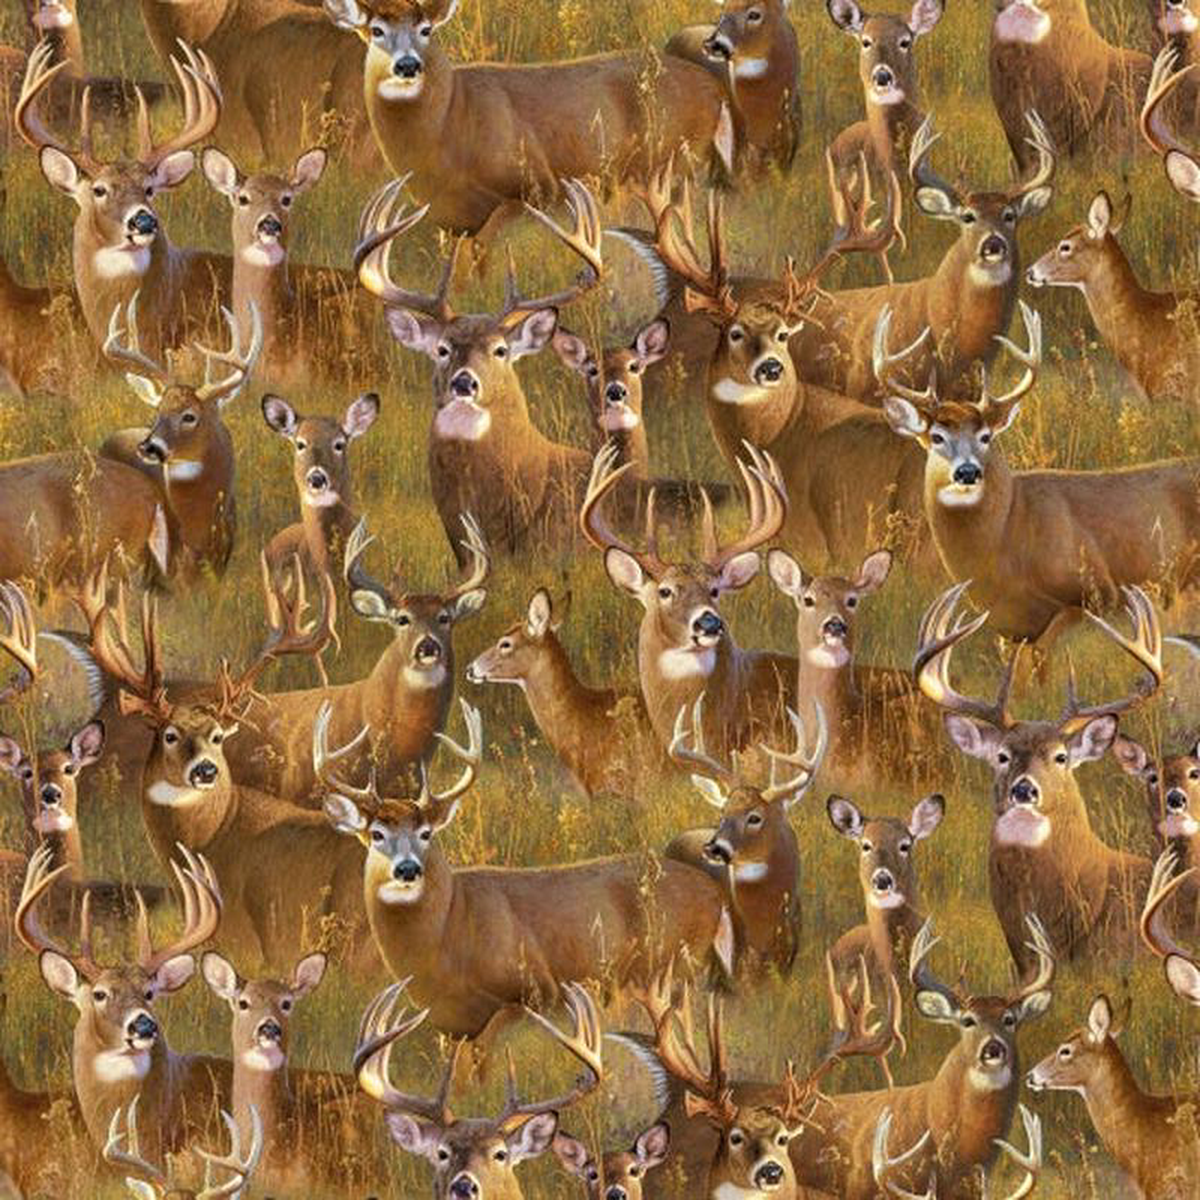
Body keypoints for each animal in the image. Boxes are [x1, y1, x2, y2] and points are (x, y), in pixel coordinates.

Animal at [317, 698, 737, 1046]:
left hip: (672, 965)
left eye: (425, 833)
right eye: (376, 834)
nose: (407, 869)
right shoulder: (452, 1024)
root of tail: (712, 890)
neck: (449, 931)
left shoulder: (530, 990)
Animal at [323, 0, 738, 237]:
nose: (407, 65)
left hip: (670, 163)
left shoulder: (532, 186)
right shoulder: (453, 219)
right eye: (375, 30)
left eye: (426, 29)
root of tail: (713, 85)